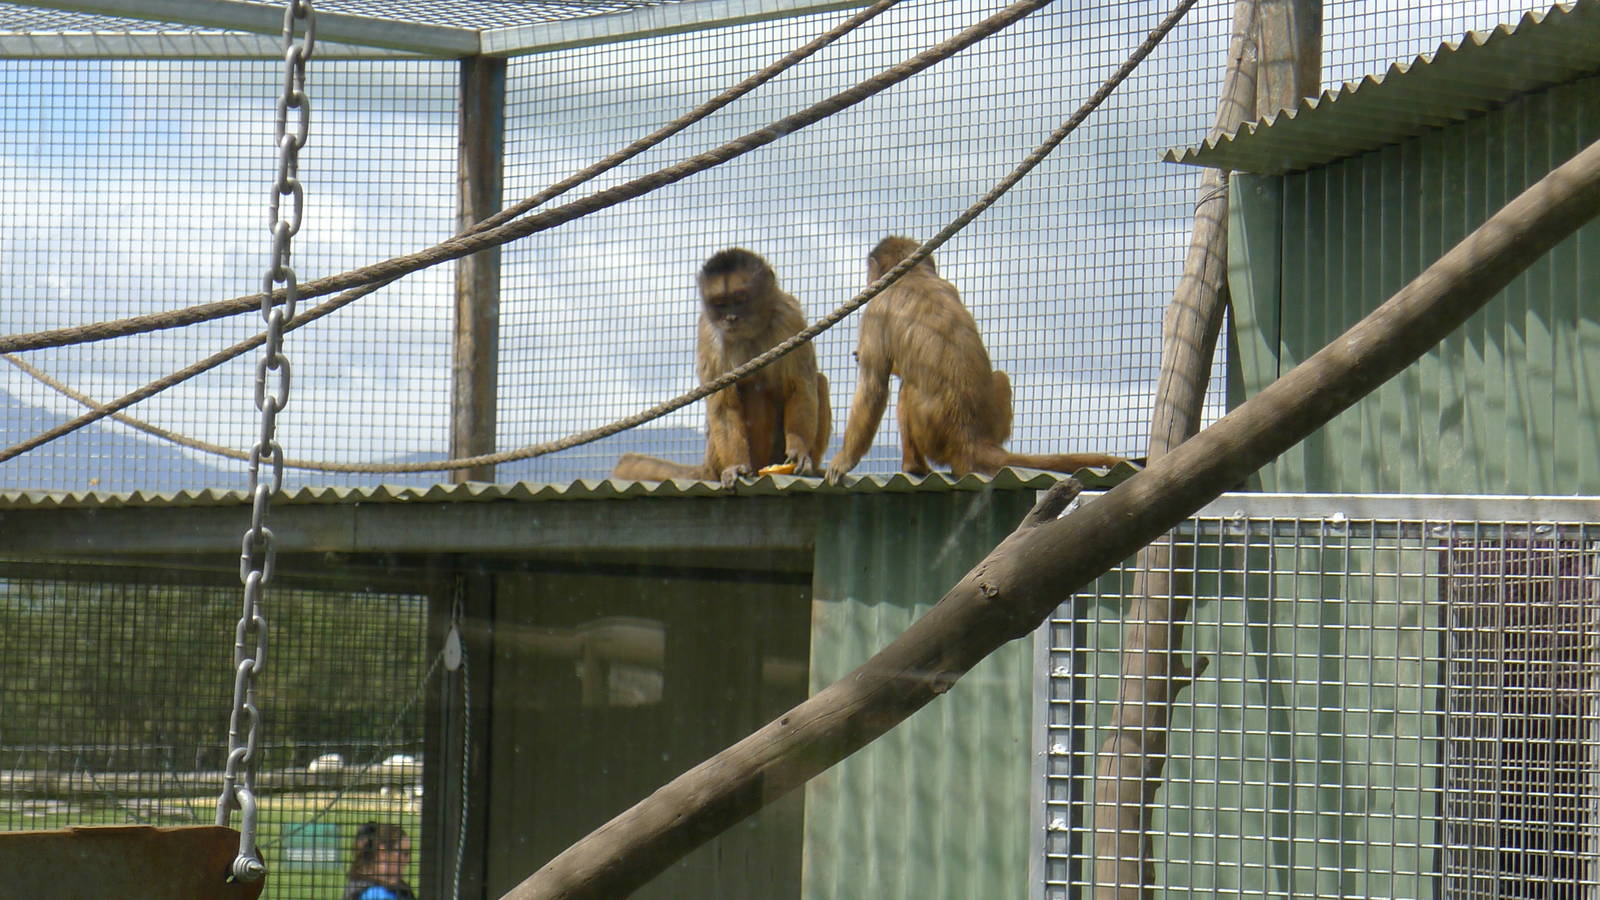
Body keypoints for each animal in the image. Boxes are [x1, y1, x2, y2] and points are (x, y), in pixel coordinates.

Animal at [613, 248, 831, 488]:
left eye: (740, 299)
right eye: (720, 303)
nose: (731, 318)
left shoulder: (790, 316)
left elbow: (799, 386)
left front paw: (799, 451)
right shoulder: (709, 333)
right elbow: (724, 403)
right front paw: (735, 466)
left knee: (817, 381)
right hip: (717, 458)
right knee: (753, 388)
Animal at [825, 236, 1127, 483]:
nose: (869, 281)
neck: (912, 275)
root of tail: (969, 436)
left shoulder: (875, 310)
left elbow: (874, 387)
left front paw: (844, 461)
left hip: (933, 435)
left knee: (907, 388)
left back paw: (914, 467)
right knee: (999, 377)